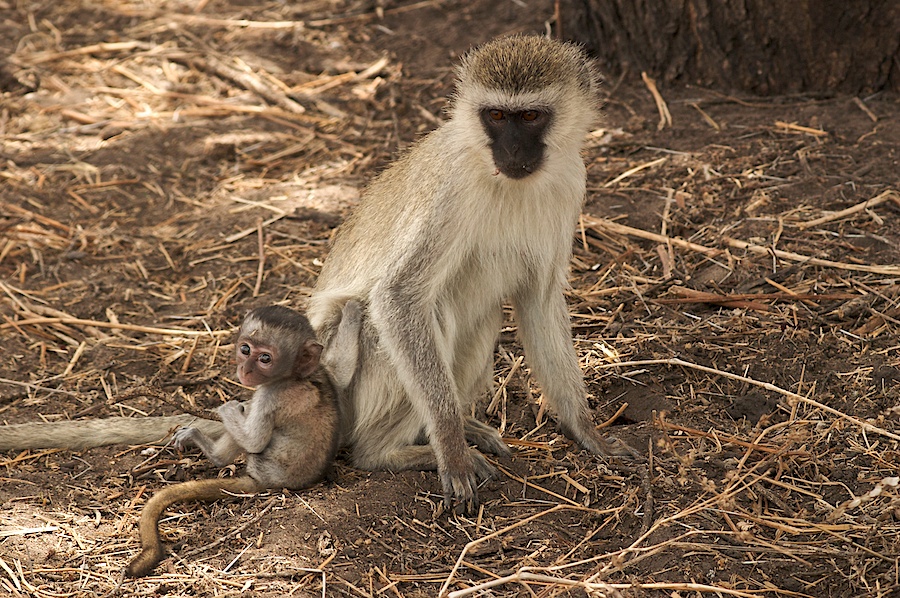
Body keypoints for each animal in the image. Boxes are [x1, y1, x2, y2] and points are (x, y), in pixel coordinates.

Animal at [124, 304, 362, 580]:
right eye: (245, 349)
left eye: (265, 358)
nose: (246, 370)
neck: (295, 376)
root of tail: (266, 482)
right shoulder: (323, 371)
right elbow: (342, 373)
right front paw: (353, 312)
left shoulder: (270, 395)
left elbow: (254, 439)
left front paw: (228, 408)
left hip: (260, 464)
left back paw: (213, 451)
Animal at [310, 36, 640, 516]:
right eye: (497, 116)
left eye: (530, 116)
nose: (514, 152)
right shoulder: (452, 186)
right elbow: (398, 296)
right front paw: (450, 450)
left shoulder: (572, 181)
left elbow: (539, 300)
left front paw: (586, 431)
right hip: (345, 381)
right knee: (428, 315)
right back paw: (396, 452)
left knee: (483, 321)